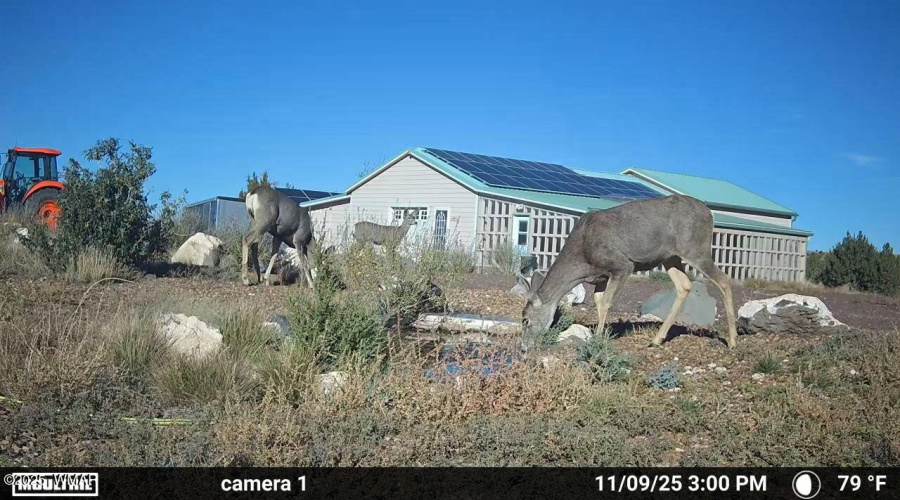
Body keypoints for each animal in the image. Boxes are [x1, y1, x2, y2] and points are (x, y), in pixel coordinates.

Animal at [519, 194, 738, 352]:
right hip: (671, 257)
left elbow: (606, 302)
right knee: (684, 285)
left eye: (525, 320)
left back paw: (733, 341)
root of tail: (709, 213)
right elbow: (598, 301)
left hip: (695, 248)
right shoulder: (600, 277)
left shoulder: (621, 265)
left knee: (723, 279)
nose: (523, 348)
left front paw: (598, 340)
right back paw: (656, 340)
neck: (582, 258)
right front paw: (602, 334)